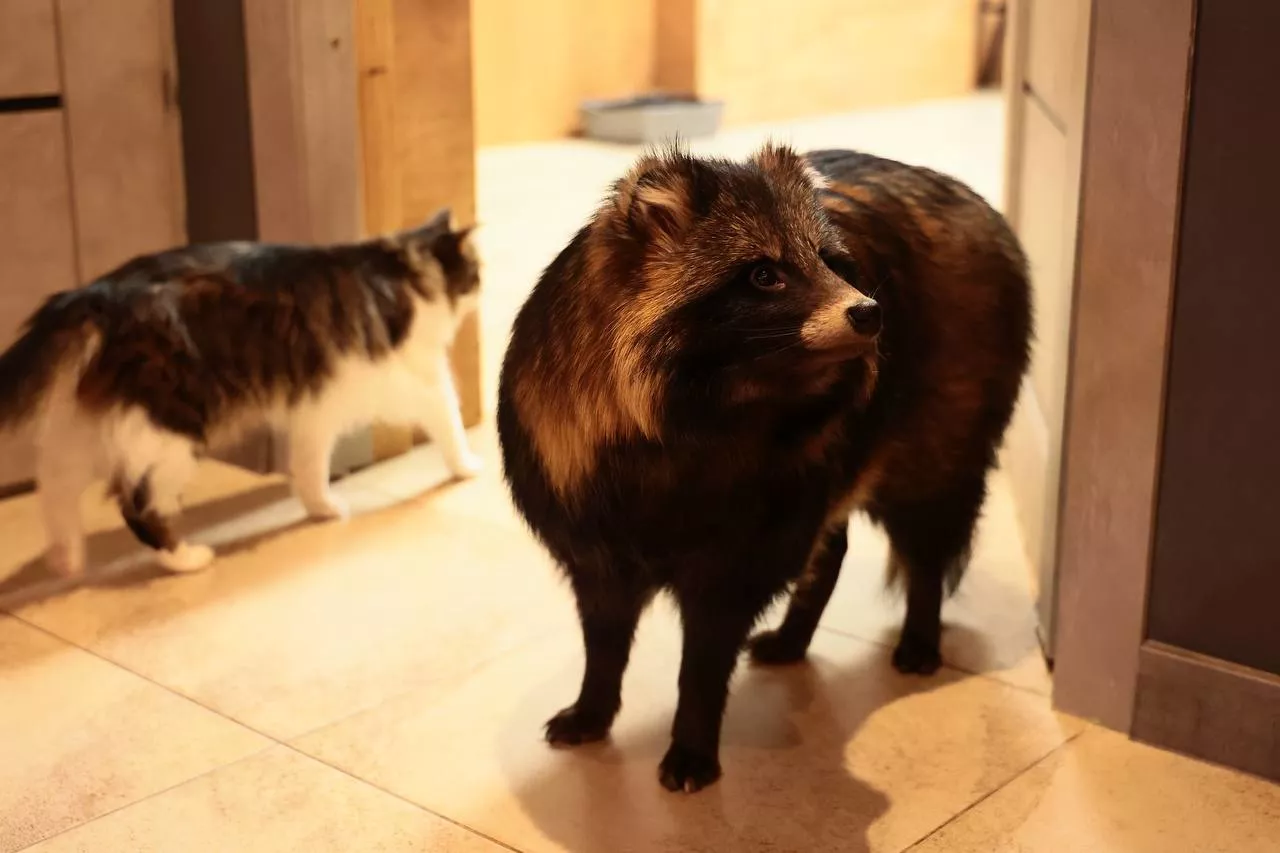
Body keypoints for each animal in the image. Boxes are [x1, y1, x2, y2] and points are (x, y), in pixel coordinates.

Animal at [0, 208, 482, 575]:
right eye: (475, 271)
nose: (482, 287)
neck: (404, 269)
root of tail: (94, 293)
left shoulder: (317, 409)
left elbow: (309, 468)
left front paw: (322, 510)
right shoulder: (417, 380)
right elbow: (451, 422)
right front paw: (468, 468)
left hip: (89, 429)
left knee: (54, 487)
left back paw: (66, 560)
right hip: (169, 429)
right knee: (136, 502)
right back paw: (186, 559)